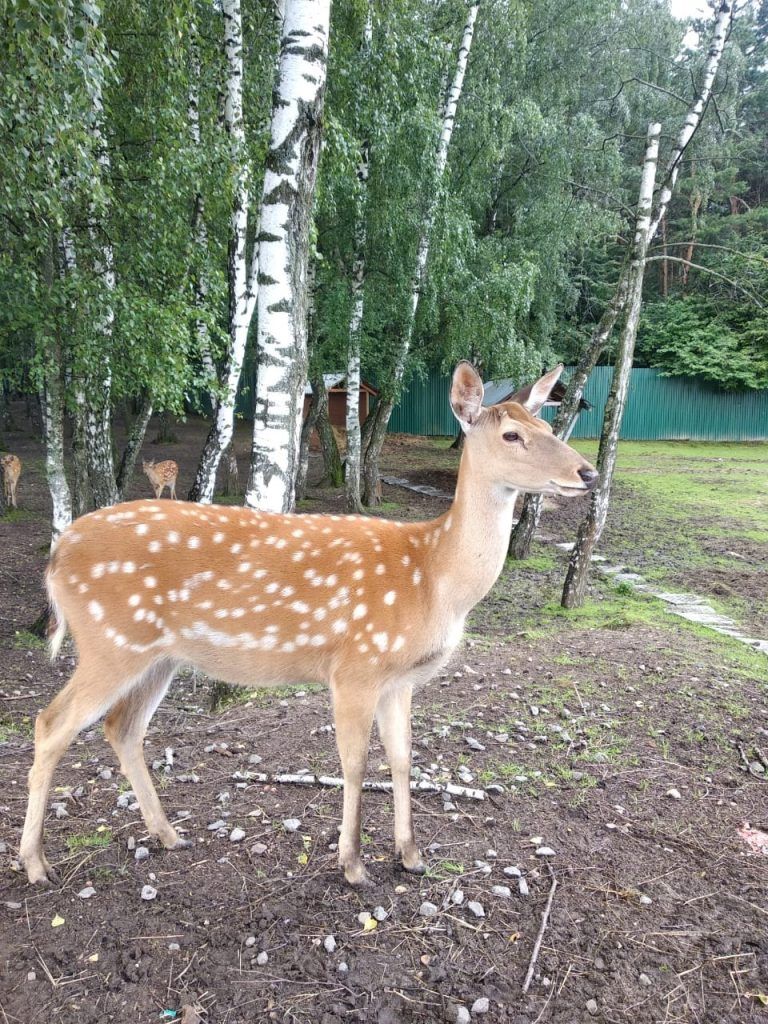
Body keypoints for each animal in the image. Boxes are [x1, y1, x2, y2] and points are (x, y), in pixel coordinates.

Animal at [16, 366, 593, 888]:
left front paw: (410, 856)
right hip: (110, 641)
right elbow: (355, 764)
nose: (586, 472)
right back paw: (36, 864)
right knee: (50, 723)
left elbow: (403, 760)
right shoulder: (356, 666)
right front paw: (353, 865)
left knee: (122, 727)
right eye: (512, 435)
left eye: (548, 426)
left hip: (158, 655)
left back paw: (169, 834)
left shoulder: (400, 679)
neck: (433, 579)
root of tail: (56, 557)